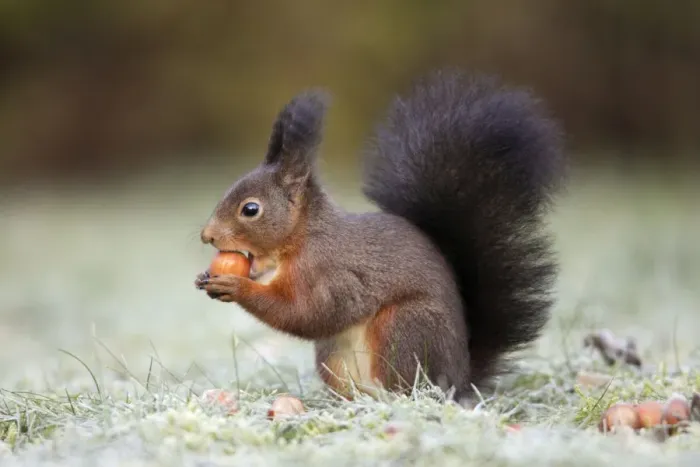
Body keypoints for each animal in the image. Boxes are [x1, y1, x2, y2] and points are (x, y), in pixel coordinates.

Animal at [195, 70, 565, 401]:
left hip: (405, 329)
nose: (206, 236)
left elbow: (309, 313)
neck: (302, 239)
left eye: (250, 209)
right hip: (334, 356)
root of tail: (460, 380)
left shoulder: (334, 274)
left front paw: (236, 287)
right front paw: (206, 278)